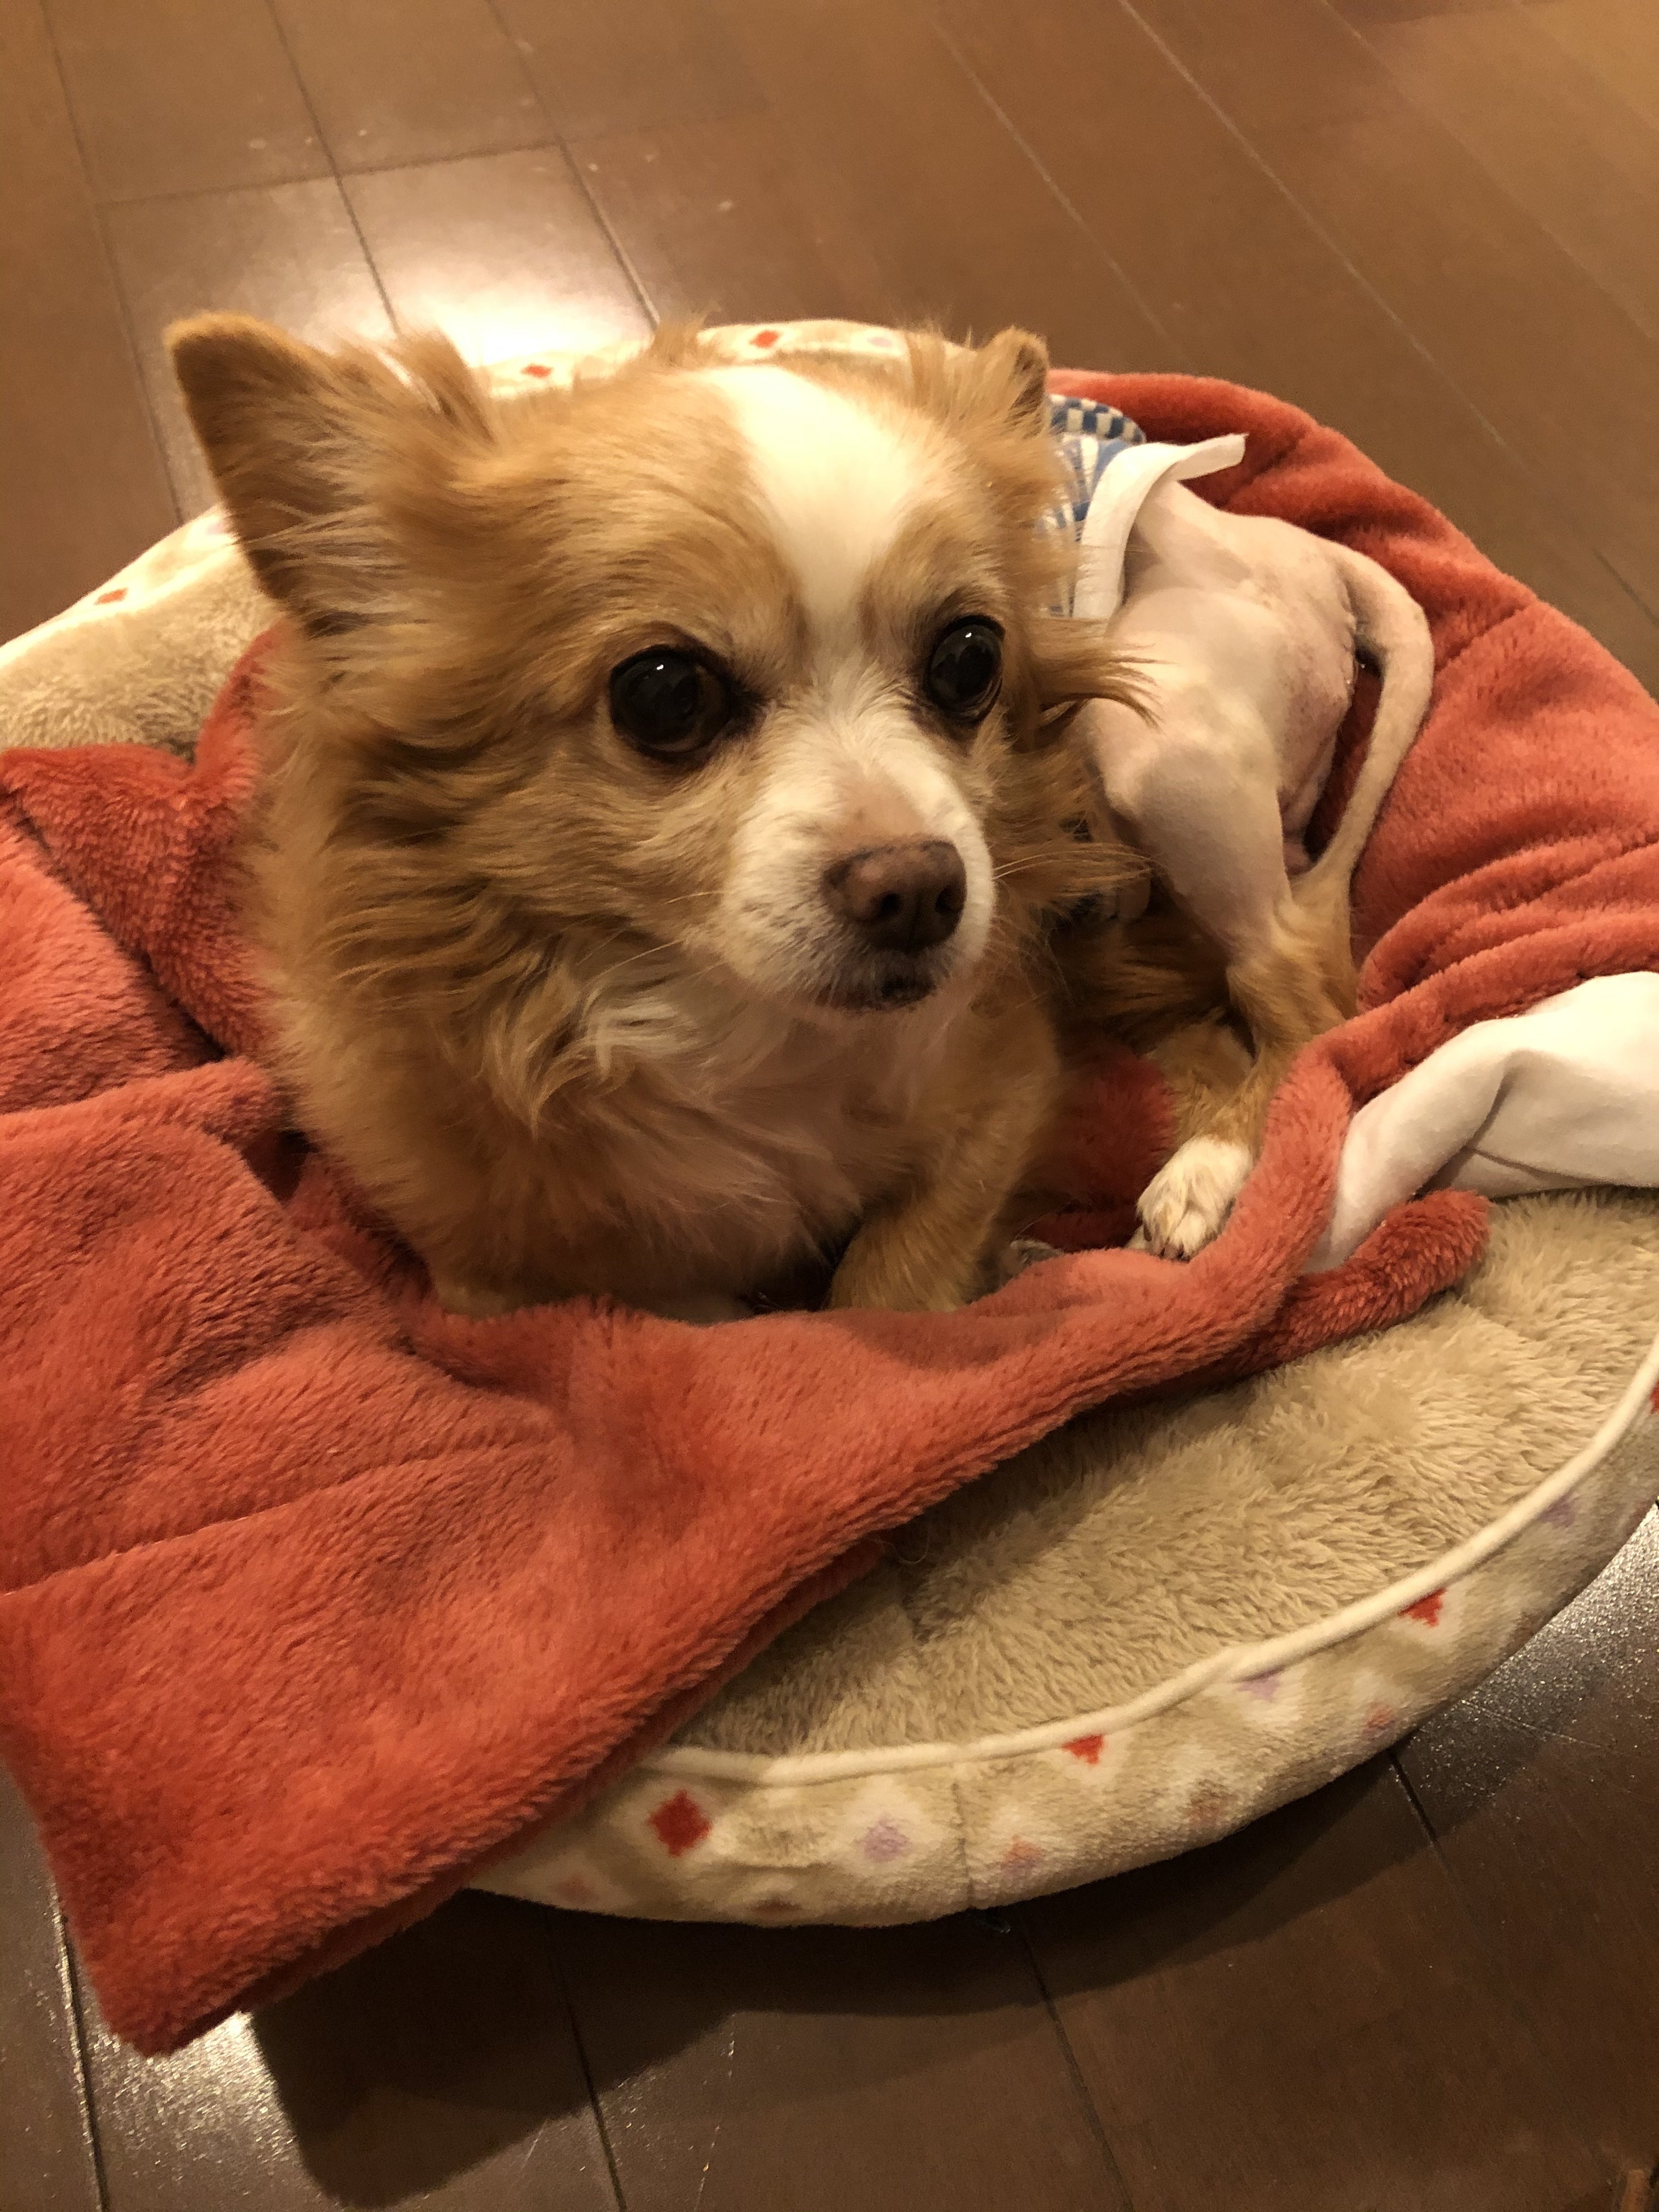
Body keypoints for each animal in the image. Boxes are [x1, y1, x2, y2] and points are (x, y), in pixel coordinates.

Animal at [167, 314, 1142, 1319]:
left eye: (969, 661)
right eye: (665, 694)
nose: (915, 888)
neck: (732, 1029)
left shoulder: (1012, 1080)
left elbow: (888, 1282)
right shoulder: (481, 1274)